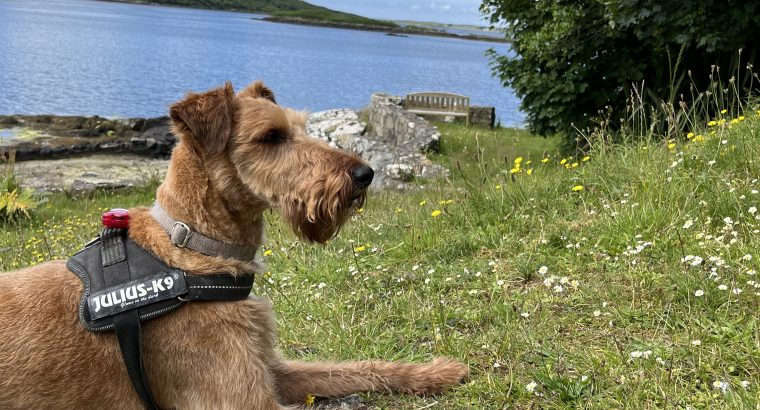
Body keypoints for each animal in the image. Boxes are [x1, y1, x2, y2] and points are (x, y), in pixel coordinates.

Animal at [0, 81, 470, 408]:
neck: (194, 250)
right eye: (271, 137)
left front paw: (436, 371)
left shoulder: (271, 368)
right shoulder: (245, 398)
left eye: (302, 127)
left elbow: (356, 368)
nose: (365, 173)